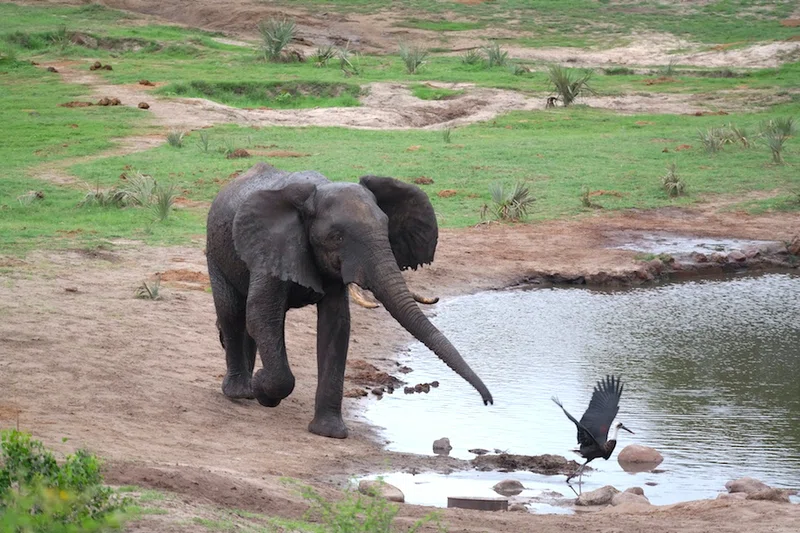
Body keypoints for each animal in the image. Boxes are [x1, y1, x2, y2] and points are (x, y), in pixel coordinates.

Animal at [205, 162, 493, 439]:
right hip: (215, 252)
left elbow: (336, 326)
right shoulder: (272, 246)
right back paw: (241, 392)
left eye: (386, 229)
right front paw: (263, 389)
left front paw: (329, 433)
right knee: (233, 313)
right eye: (337, 237)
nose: (488, 402)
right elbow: (263, 314)